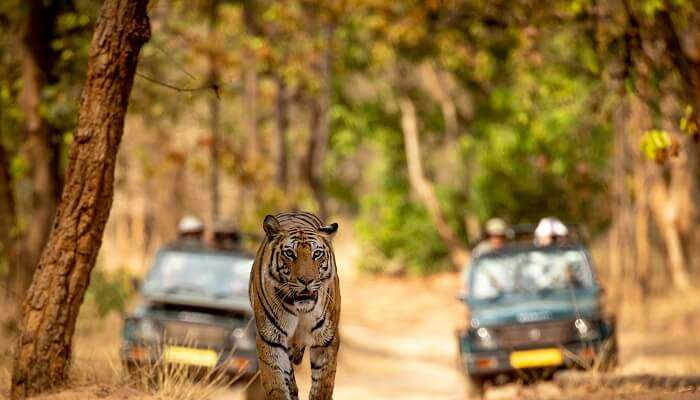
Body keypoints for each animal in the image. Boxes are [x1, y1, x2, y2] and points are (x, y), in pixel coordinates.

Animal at [250, 211, 340, 398]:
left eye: (317, 253)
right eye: (290, 253)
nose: (306, 280)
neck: (301, 310)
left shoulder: (327, 340)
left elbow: (322, 386)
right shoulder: (271, 340)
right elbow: (276, 384)